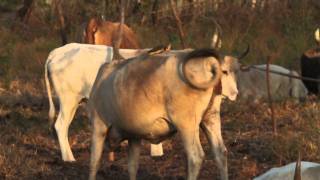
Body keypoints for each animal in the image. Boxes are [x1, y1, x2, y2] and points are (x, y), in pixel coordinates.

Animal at [87, 48, 242, 180]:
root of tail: (209, 62)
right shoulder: (135, 135)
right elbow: (132, 166)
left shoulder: (98, 126)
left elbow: (94, 163)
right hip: (211, 118)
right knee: (220, 153)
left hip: (186, 124)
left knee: (195, 157)